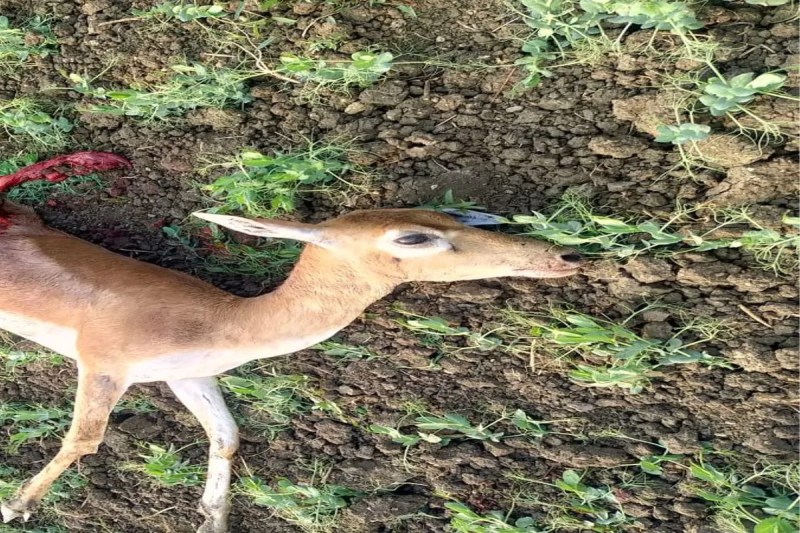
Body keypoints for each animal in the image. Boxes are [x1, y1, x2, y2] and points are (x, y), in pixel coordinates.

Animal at [0, 152, 583, 532]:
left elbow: (227, 436)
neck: (227, 322)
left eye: (445, 215)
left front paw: (212, 519)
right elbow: (84, 439)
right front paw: (16, 506)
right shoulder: (102, 361)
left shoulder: (189, 374)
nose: (563, 255)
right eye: (414, 236)